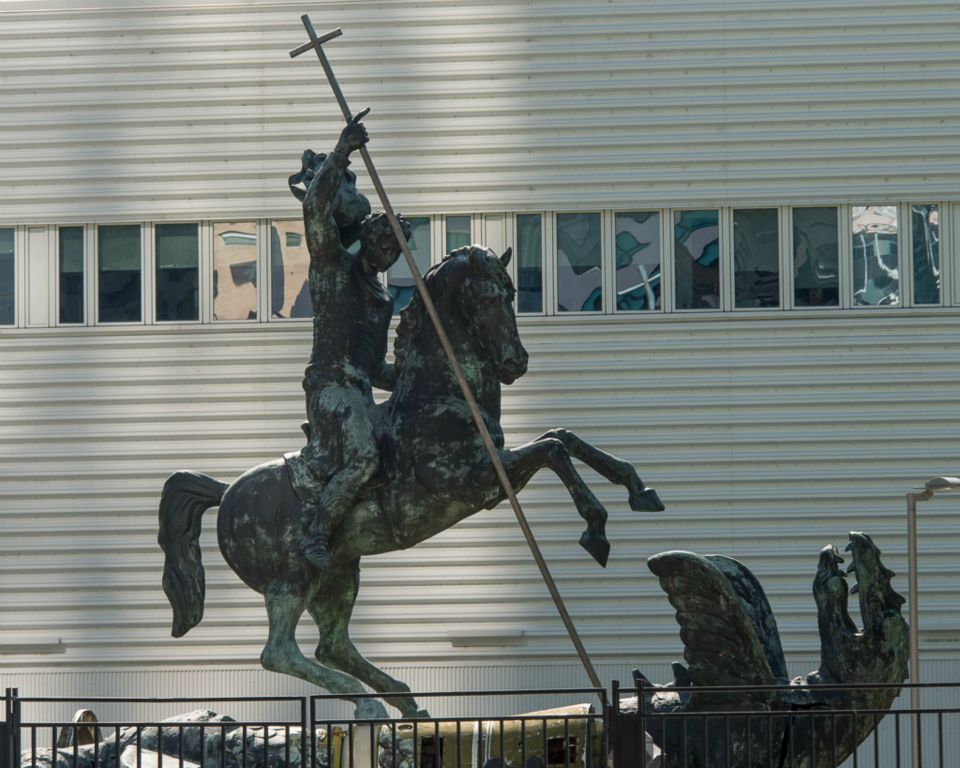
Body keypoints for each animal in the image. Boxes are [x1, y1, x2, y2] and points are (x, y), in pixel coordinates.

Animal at [161, 246, 664, 720]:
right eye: (487, 298)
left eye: (513, 294)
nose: (515, 362)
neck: (441, 394)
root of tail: (227, 493)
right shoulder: (478, 480)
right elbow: (554, 450)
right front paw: (596, 529)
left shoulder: (496, 473)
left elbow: (563, 437)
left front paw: (639, 489)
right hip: (292, 580)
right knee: (279, 652)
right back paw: (370, 705)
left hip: (338, 574)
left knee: (332, 645)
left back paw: (403, 700)